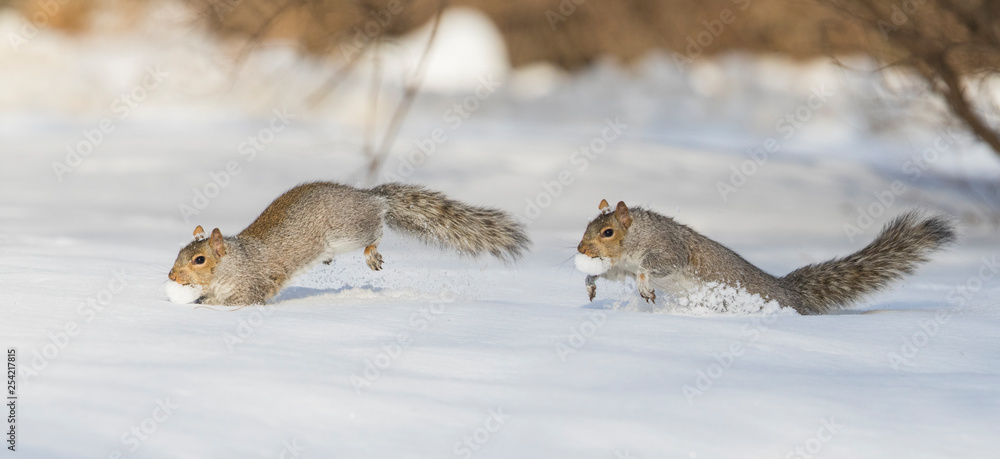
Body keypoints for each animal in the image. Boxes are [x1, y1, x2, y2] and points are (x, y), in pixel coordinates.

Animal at [168, 182, 530, 305]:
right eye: (180, 252)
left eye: (199, 260)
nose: (171, 276)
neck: (233, 262)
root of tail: (369, 196)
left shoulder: (252, 286)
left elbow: (241, 302)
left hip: (350, 231)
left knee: (376, 231)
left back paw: (372, 253)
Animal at [575, 200, 956, 314]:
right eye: (588, 225)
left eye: (607, 232)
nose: (580, 250)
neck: (635, 239)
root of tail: (788, 293)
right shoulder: (620, 266)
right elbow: (610, 275)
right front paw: (590, 281)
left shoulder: (670, 248)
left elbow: (655, 266)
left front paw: (644, 284)